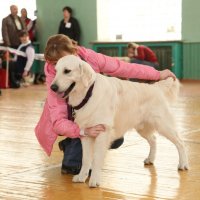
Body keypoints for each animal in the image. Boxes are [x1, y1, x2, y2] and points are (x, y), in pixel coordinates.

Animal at [50, 54, 188, 188]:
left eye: (67, 71)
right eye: (55, 71)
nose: (53, 87)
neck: (88, 94)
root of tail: (155, 87)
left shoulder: (103, 132)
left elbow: (96, 159)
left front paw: (94, 180)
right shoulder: (86, 134)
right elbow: (86, 159)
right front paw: (81, 176)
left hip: (163, 125)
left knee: (180, 143)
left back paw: (183, 164)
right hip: (142, 127)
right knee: (154, 139)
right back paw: (150, 159)